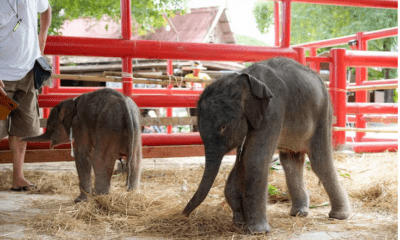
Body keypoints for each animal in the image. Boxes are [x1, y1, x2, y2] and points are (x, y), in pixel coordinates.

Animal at [182, 57, 350, 233]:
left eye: (223, 127)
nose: (183, 215)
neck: (244, 79)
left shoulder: (273, 110)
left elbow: (254, 157)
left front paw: (257, 231)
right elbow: (243, 158)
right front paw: (239, 222)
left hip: (324, 114)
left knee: (320, 162)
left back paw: (339, 216)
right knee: (291, 161)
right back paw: (299, 213)